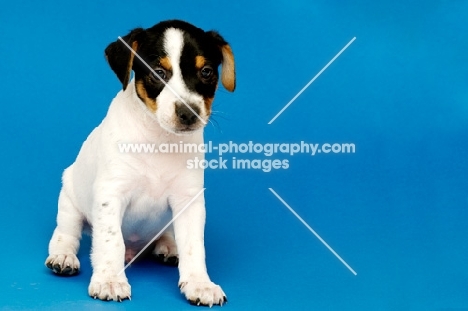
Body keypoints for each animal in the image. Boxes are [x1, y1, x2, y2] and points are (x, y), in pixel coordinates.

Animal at [44, 20, 234, 308]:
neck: (159, 141)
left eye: (206, 71)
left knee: (167, 234)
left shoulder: (188, 200)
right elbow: (110, 241)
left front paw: (199, 283)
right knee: (66, 233)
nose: (188, 113)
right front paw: (110, 279)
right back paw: (63, 256)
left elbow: (194, 247)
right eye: (158, 73)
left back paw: (169, 246)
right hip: (70, 201)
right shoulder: (111, 195)